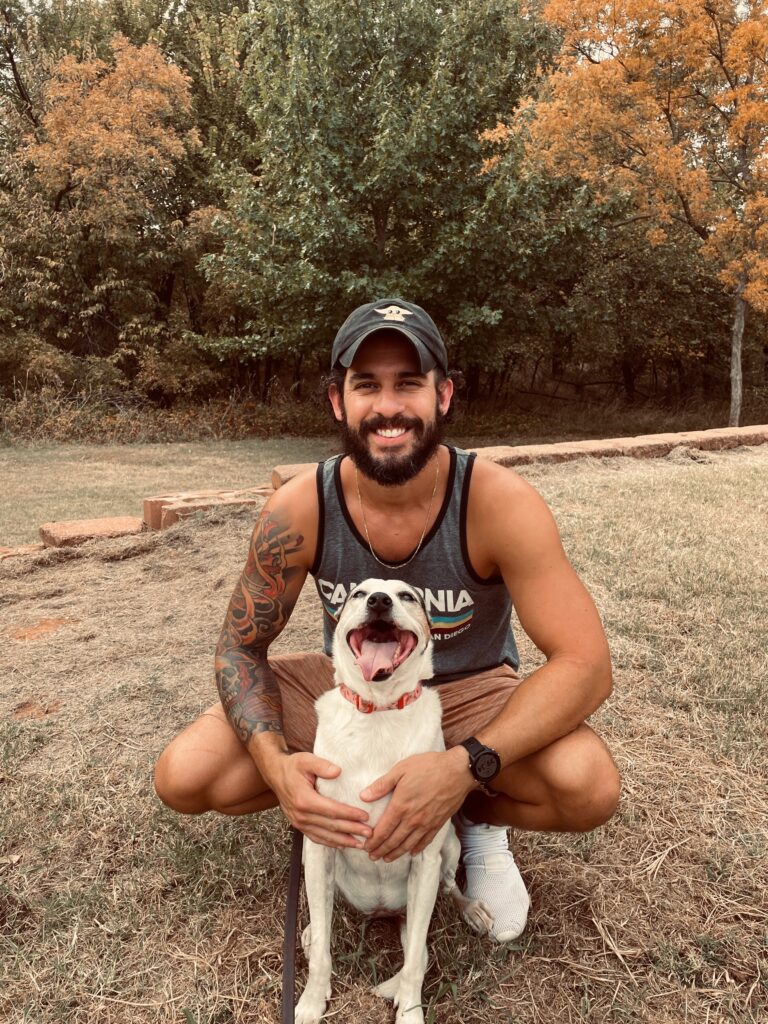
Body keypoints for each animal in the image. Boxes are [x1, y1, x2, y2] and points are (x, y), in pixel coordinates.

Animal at [294, 581, 493, 1019]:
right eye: (357, 594)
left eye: (407, 597)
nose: (379, 601)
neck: (379, 709)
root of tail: (384, 912)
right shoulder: (319, 846)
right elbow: (323, 955)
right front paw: (313, 1001)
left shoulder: (424, 858)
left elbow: (416, 959)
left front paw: (410, 1012)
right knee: (324, 915)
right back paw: (312, 931)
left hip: (448, 850)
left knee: (447, 894)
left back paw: (471, 909)